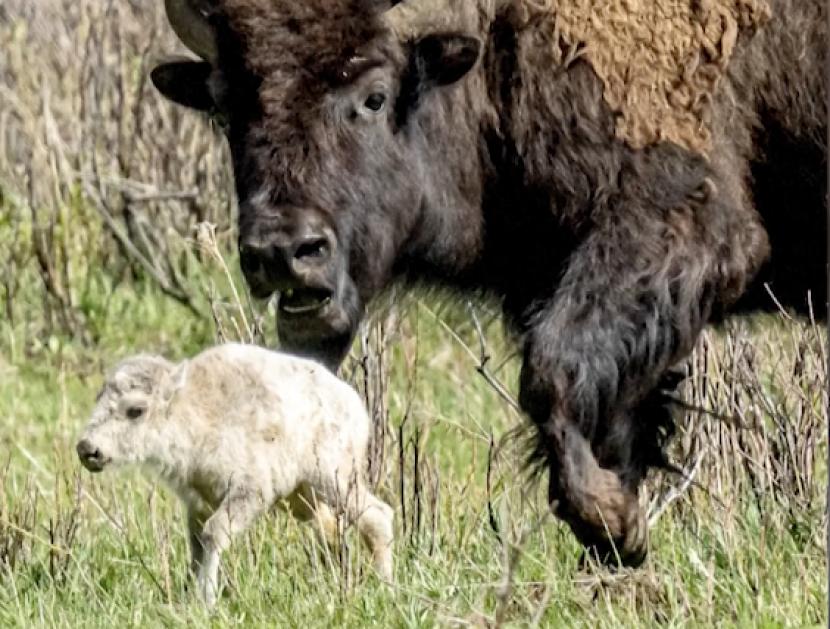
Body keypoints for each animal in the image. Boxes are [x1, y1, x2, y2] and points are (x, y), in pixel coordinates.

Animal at [75, 340, 394, 604]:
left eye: (136, 410)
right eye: (99, 398)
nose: (88, 449)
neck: (193, 410)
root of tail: (354, 404)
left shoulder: (249, 491)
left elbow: (214, 534)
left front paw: (206, 599)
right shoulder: (198, 503)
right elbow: (196, 546)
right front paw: (191, 595)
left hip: (333, 479)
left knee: (377, 516)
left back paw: (384, 586)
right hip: (303, 499)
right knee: (332, 530)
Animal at [150, 0, 824, 564]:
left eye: (374, 97)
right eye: (225, 109)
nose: (284, 250)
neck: (498, 45)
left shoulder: (683, 225)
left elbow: (551, 373)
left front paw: (610, 520)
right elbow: (610, 417)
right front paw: (618, 540)